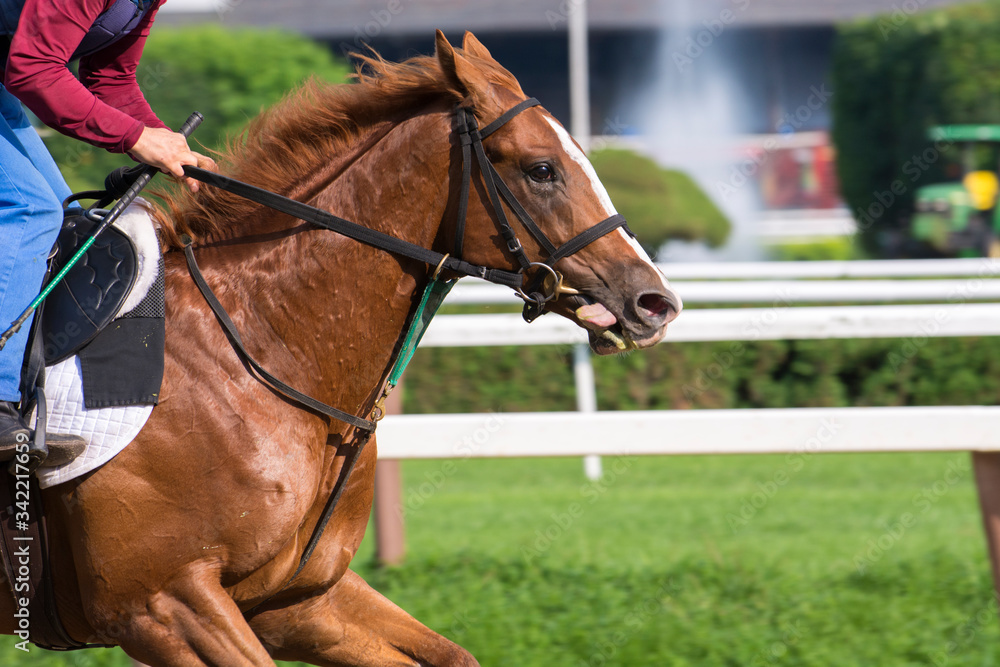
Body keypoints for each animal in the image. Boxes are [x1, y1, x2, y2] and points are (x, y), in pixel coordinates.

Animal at [0, 32, 680, 667]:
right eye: (542, 169)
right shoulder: (160, 604)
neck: (263, 348)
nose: (655, 301)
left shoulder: (293, 598)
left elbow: (452, 653)